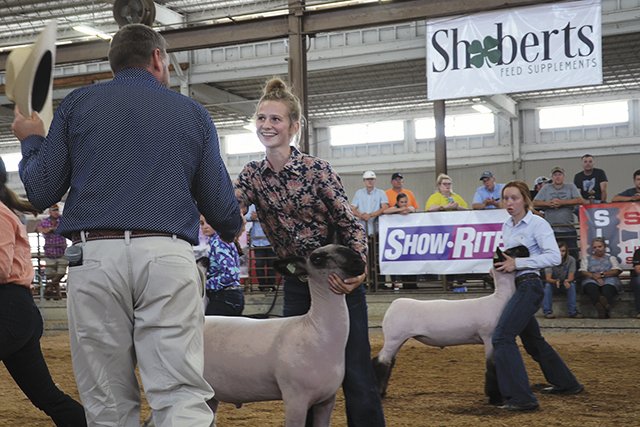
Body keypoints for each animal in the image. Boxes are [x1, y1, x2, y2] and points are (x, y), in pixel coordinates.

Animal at [201, 244, 366, 427]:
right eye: (317, 259)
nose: (359, 262)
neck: (316, 330)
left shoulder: (327, 400)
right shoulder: (295, 398)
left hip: (211, 396)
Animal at [372, 247, 527, 405]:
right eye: (512, 251)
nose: (525, 248)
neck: (499, 300)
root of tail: (394, 304)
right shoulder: (489, 337)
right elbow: (492, 367)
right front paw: (495, 398)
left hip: (399, 339)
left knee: (389, 362)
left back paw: (383, 392)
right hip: (393, 338)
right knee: (380, 361)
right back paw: (379, 393)